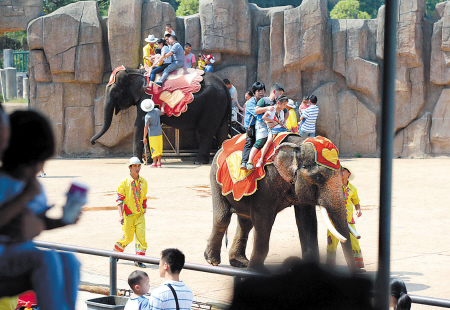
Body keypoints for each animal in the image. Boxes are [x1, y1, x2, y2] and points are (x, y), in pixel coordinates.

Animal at [91, 67, 232, 165]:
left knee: (206, 132)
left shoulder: (146, 97)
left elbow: (140, 123)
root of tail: (224, 86)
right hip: (220, 105)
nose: (92, 143)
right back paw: (220, 159)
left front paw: (138, 161)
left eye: (115, 91)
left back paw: (199, 161)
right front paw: (148, 160)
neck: (136, 71)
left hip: (212, 104)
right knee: (222, 129)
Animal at [203, 134, 356, 272]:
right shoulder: (266, 183)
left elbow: (307, 220)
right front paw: (257, 271)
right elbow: (263, 220)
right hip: (215, 177)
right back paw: (212, 261)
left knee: (245, 222)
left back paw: (240, 262)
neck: (297, 145)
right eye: (318, 177)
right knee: (223, 217)